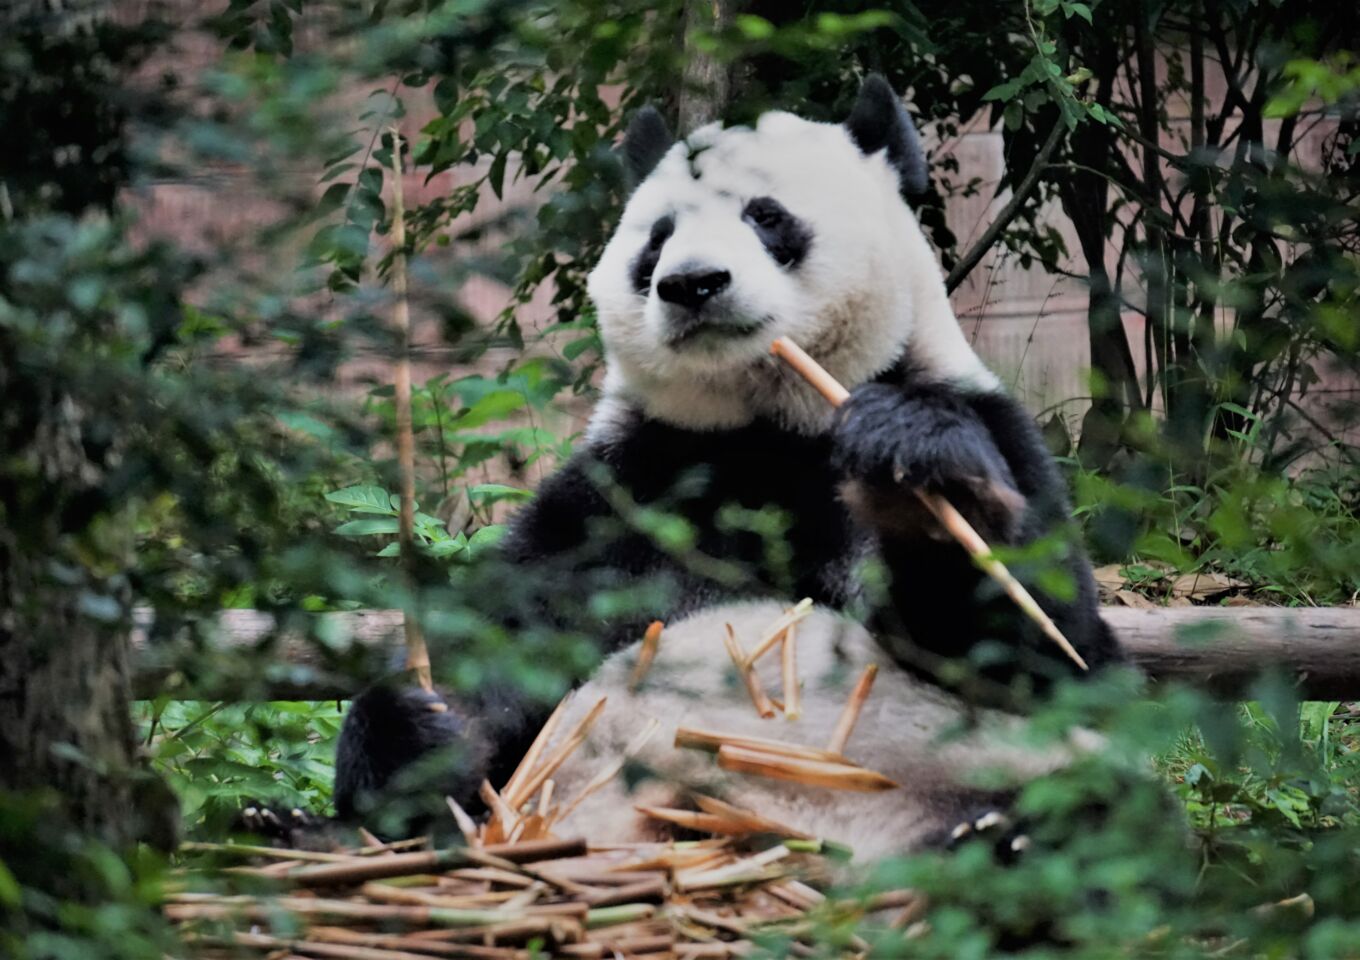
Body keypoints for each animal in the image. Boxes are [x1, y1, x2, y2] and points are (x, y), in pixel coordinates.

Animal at [337, 72, 1126, 853]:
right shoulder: (624, 489)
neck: (766, 430)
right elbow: (514, 633)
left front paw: (920, 472)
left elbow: (1057, 657)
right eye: (658, 238)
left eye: (766, 216)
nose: (692, 283)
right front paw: (420, 731)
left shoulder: (995, 432)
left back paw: (998, 839)